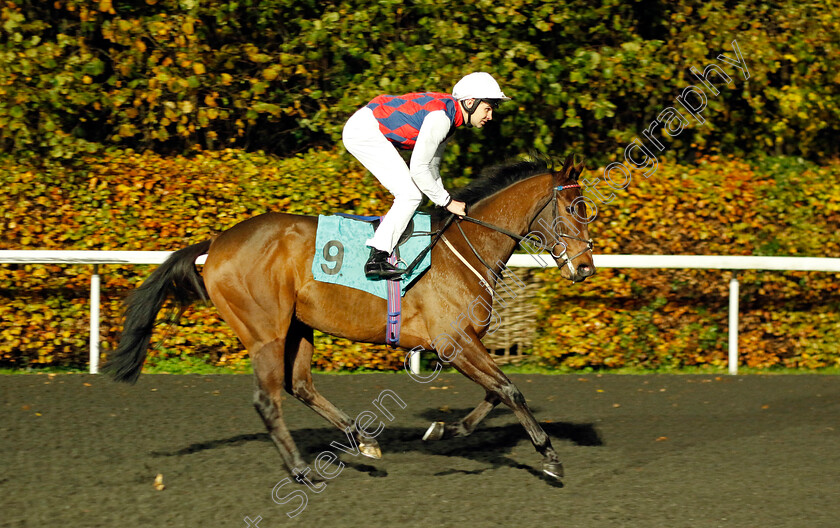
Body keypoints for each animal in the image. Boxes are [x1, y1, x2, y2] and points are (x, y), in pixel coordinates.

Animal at [101, 155, 592, 480]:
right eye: (574, 209)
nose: (585, 267)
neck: (464, 249)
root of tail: (217, 243)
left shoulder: (463, 343)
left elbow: (496, 392)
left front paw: (446, 428)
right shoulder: (453, 343)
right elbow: (509, 389)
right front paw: (549, 457)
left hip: (299, 327)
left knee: (300, 385)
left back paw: (363, 440)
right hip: (265, 332)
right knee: (268, 399)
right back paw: (301, 468)